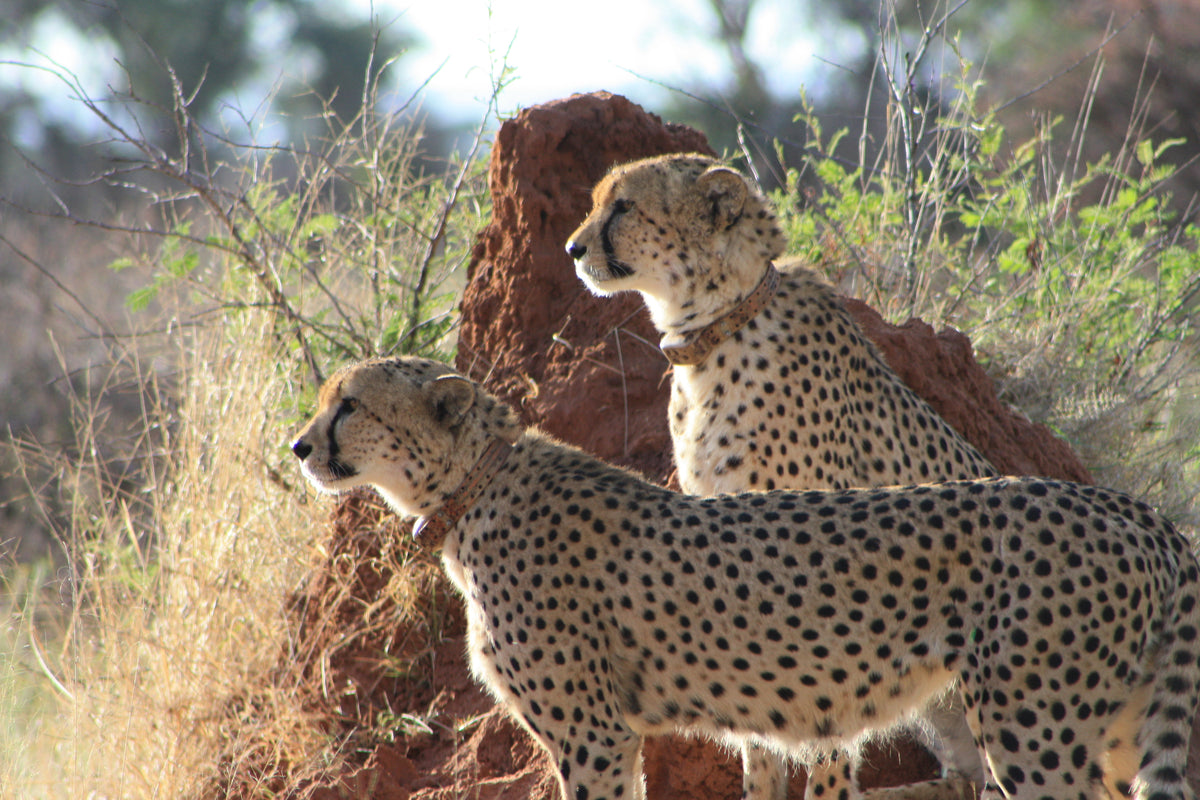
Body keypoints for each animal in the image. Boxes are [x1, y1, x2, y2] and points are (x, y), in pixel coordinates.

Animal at [290, 355, 1200, 800]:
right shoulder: (616, 733)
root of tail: (1135, 510)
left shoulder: (593, 732)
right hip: (1113, 725)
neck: (473, 486)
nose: (299, 446)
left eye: (350, 405)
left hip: (1032, 726)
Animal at [566, 153, 1000, 799]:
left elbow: (825, 728)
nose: (573, 248)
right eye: (597, 202)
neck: (716, 329)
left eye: (623, 207)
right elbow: (757, 725)